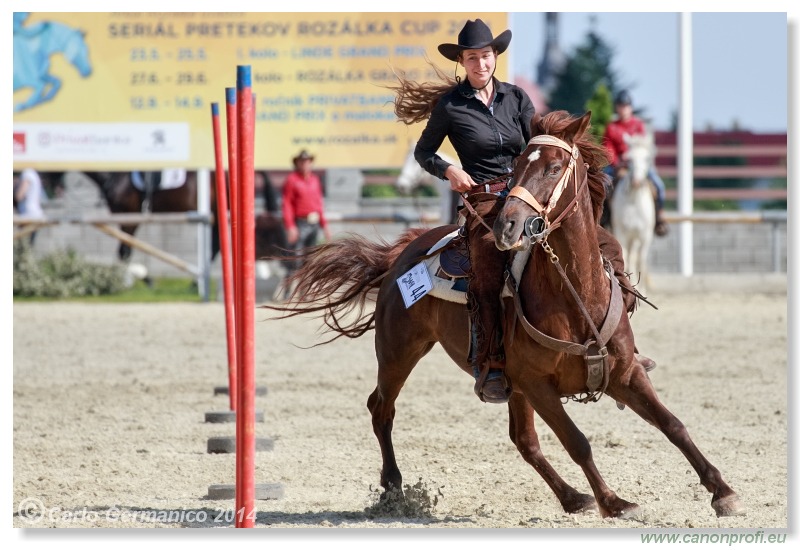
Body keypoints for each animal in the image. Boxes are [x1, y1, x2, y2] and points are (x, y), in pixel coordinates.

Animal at [612, 133, 656, 296]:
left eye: (647, 158)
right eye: (629, 159)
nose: (637, 182)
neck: (633, 201)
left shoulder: (644, 236)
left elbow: (641, 261)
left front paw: (642, 290)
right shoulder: (621, 233)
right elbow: (625, 257)